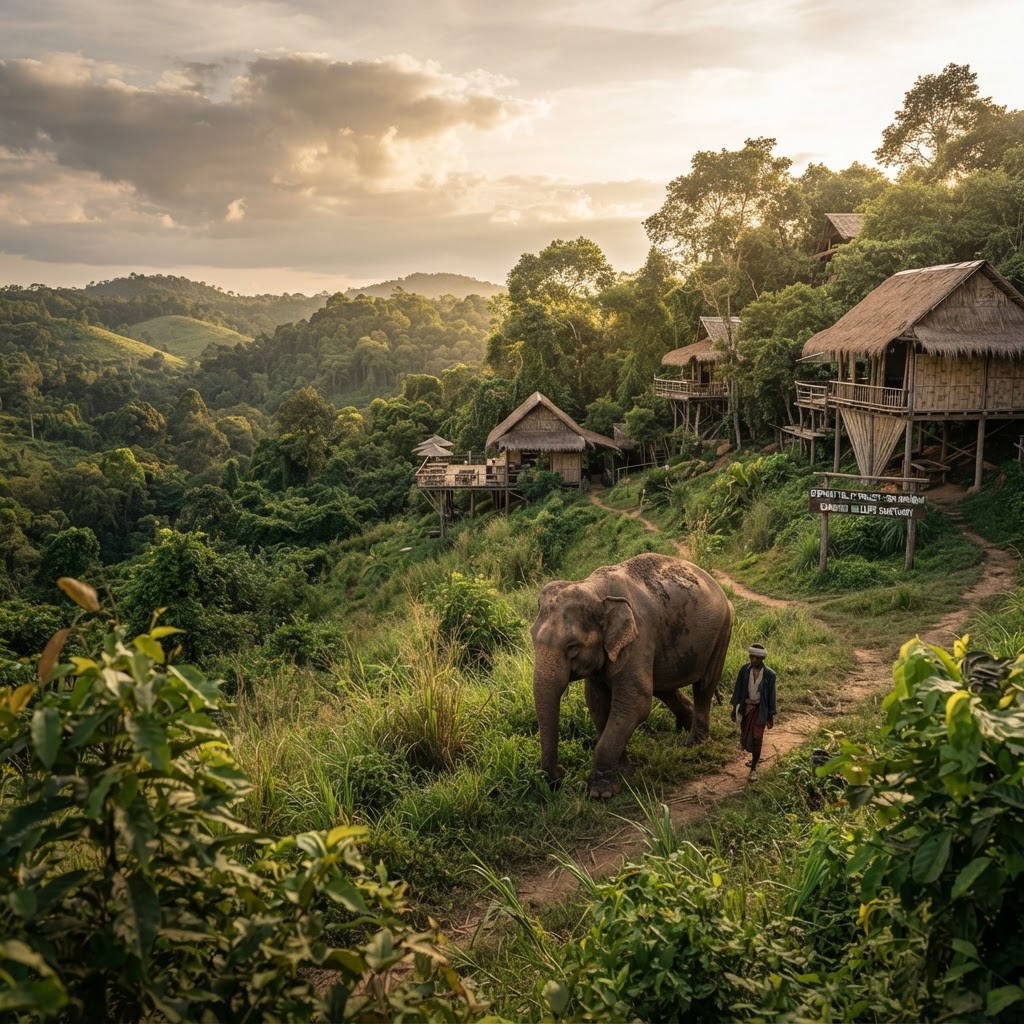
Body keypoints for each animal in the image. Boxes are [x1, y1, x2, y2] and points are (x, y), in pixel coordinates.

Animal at [530, 552, 734, 798]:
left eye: (572, 648)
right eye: (532, 639)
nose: (561, 772)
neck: (594, 588)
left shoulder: (638, 638)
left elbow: (635, 703)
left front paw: (602, 793)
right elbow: (597, 703)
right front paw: (625, 771)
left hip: (722, 631)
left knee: (704, 685)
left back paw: (695, 743)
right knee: (664, 689)